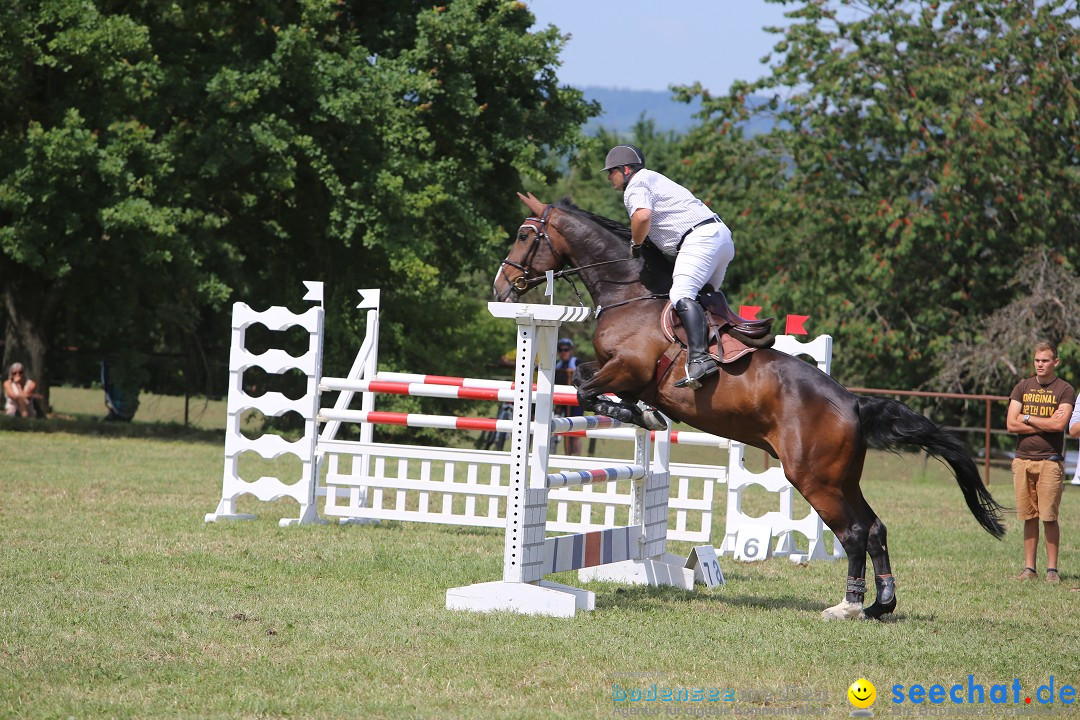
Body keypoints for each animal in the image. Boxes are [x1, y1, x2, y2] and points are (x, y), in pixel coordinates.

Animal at [494, 194, 1006, 621]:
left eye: (524, 234)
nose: (502, 286)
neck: (630, 294)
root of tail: (853, 403)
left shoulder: (625, 368)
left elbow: (584, 387)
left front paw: (637, 414)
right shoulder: (619, 371)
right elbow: (587, 381)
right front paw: (641, 412)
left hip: (813, 479)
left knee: (855, 533)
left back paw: (847, 606)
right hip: (842, 478)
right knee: (875, 527)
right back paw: (882, 603)